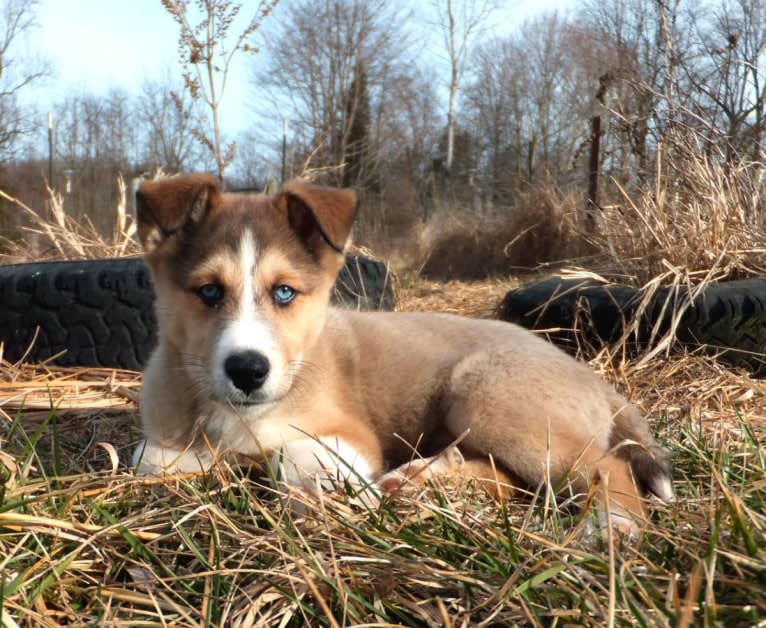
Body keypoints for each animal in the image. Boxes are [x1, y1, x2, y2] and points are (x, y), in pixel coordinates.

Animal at [135, 173, 676, 536]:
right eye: (208, 291)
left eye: (284, 292)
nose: (248, 370)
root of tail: (600, 384)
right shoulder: (158, 443)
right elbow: (156, 458)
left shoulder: (349, 437)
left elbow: (296, 457)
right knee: (512, 478)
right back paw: (419, 478)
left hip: (486, 399)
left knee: (606, 466)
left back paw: (610, 529)